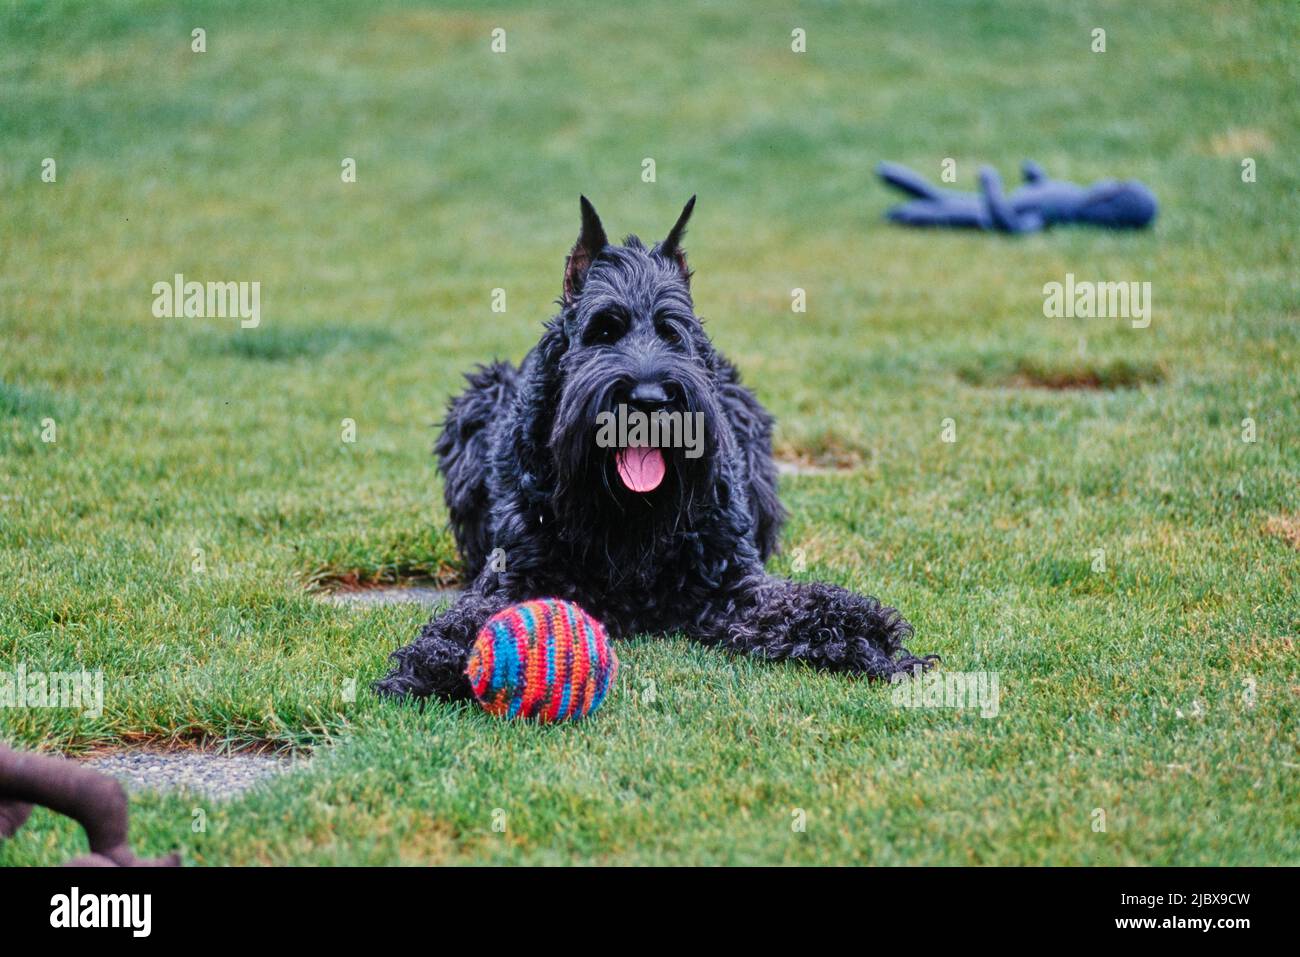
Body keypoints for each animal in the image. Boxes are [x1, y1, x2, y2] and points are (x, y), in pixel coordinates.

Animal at [377, 197, 935, 696]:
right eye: (604, 330)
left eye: (673, 332)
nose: (648, 399)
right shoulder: (517, 578)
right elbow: (474, 617)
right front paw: (433, 663)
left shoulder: (733, 585)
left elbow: (802, 606)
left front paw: (870, 636)